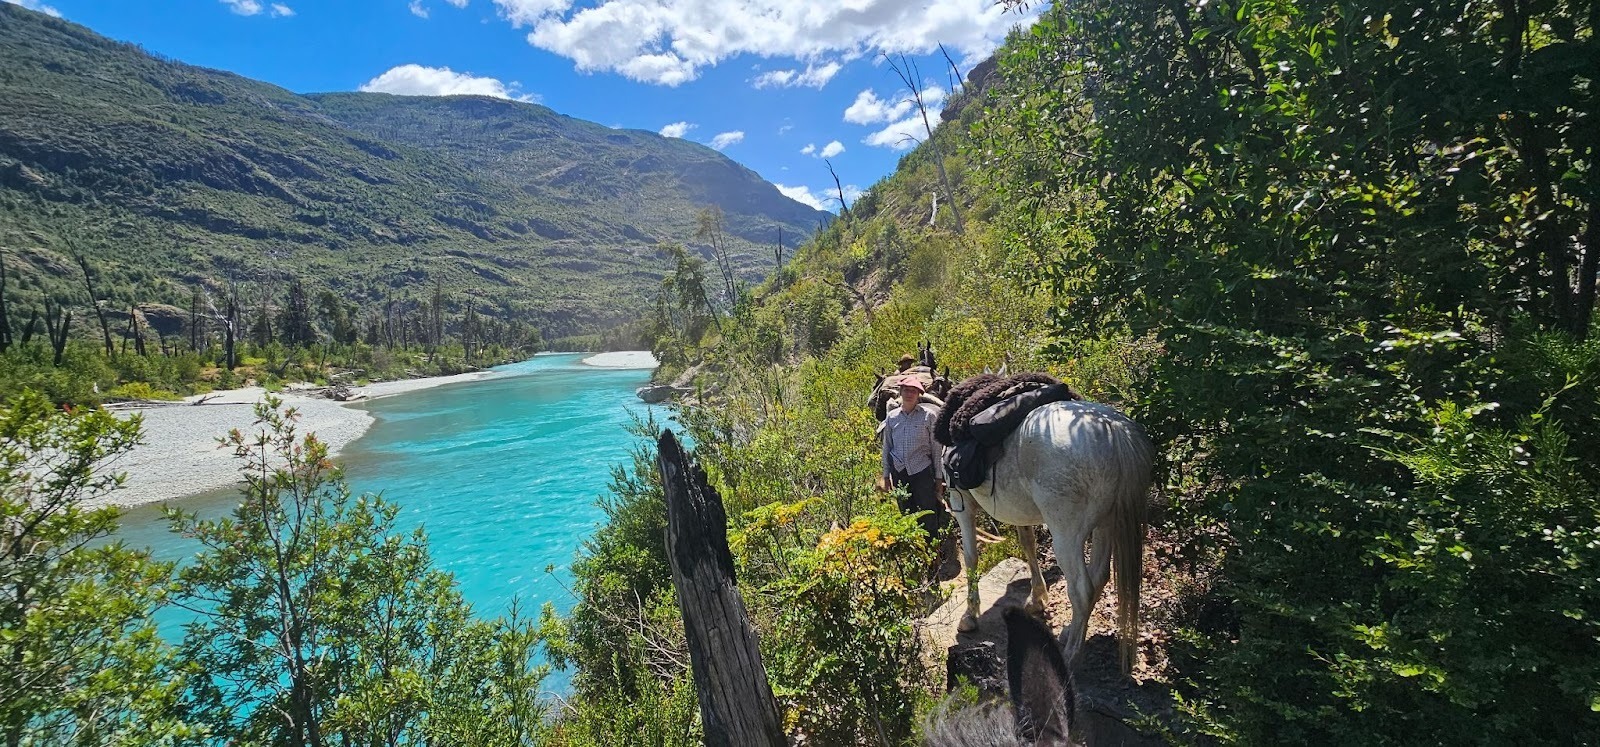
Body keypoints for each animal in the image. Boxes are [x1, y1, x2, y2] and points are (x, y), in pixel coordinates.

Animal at [945, 391, 1154, 672]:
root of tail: (1114, 430)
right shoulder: (1019, 512)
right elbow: (1028, 544)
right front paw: (1037, 599)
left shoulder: (962, 502)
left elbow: (971, 556)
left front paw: (970, 615)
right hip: (1106, 524)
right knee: (1099, 577)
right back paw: (1070, 632)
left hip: (1066, 535)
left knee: (1082, 589)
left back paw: (1071, 656)